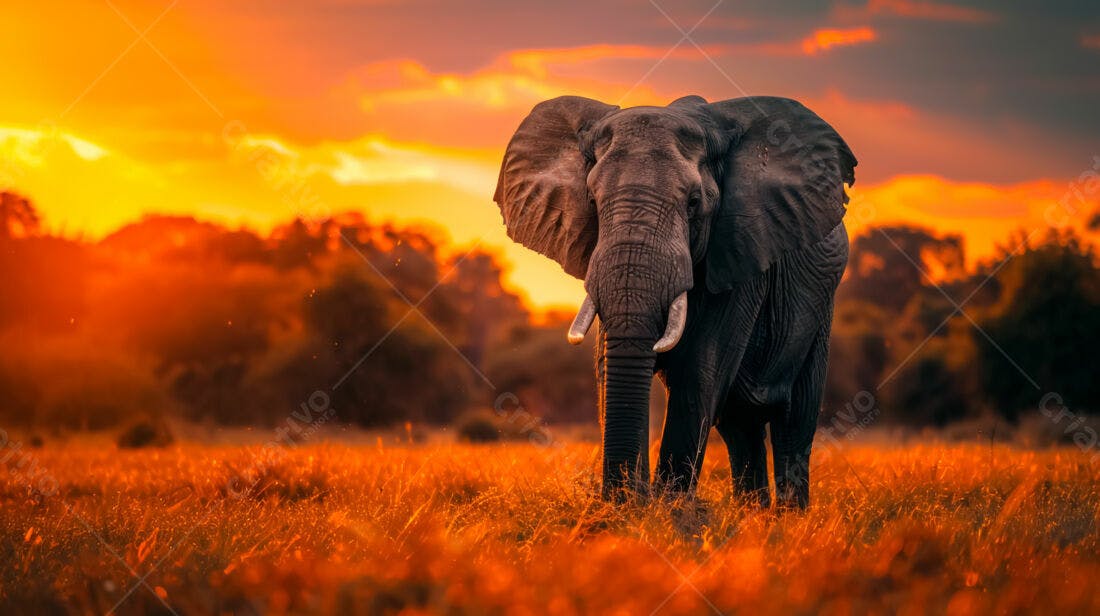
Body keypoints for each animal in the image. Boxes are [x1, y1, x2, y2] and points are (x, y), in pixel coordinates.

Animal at [493, 94, 856, 509]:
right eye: (592, 201)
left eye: (694, 203)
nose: (621, 499)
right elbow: (608, 366)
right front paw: (635, 508)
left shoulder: (738, 252)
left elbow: (699, 370)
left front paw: (668, 512)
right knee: (740, 425)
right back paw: (753, 515)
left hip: (822, 306)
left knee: (794, 421)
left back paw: (788, 517)